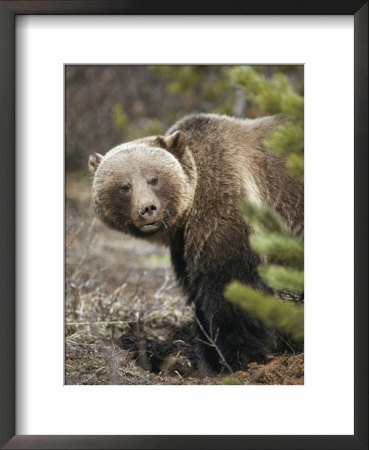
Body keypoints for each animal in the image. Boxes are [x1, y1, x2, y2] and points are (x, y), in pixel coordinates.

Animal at [89, 114, 302, 374]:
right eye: (124, 186)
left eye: (154, 179)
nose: (147, 209)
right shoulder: (184, 244)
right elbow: (198, 292)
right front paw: (209, 358)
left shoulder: (225, 207)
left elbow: (231, 285)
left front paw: (239, 357)